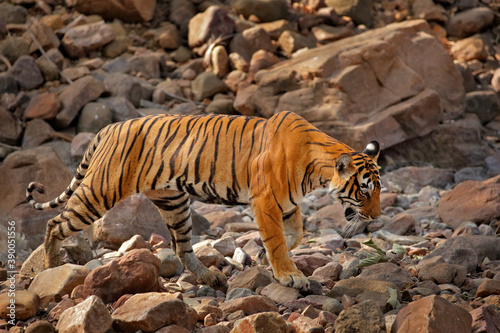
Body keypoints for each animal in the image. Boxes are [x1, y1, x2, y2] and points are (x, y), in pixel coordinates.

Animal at [26, 110, 378, 290]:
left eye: (378, 189)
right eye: (364, 191)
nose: (375, 217)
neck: (317, 170)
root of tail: (111, 126)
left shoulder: (288, 205)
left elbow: (293, 236)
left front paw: (262, 258)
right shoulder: (265, 200)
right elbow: (278, 239)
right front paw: (289, 275)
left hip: (174, 203)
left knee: (182, 247)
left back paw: (210, 277)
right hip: (100, 191)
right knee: (55, 223)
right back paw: (51, 266)